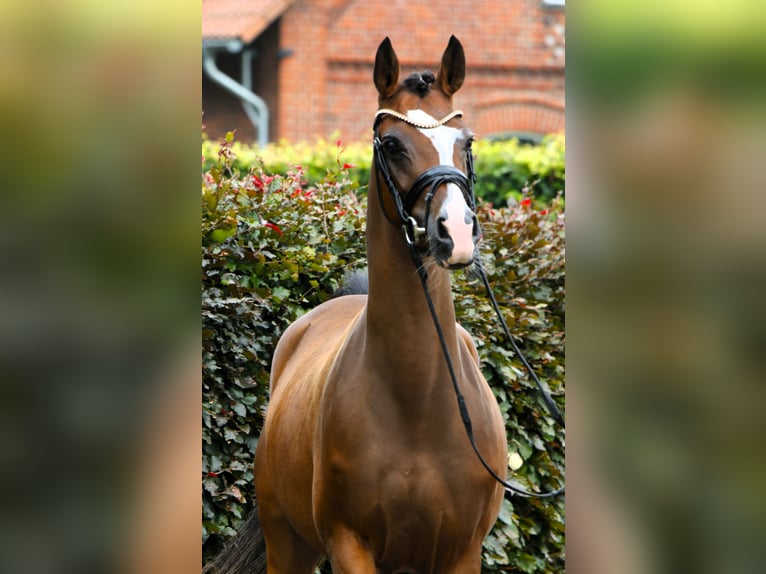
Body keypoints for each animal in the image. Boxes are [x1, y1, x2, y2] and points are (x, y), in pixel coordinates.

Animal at [208, 36, 510, 574]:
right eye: (391, 144)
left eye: (467, 140)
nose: (455, 233)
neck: (417, 405)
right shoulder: (348, 543)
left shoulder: (462, 551)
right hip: (288, 541)